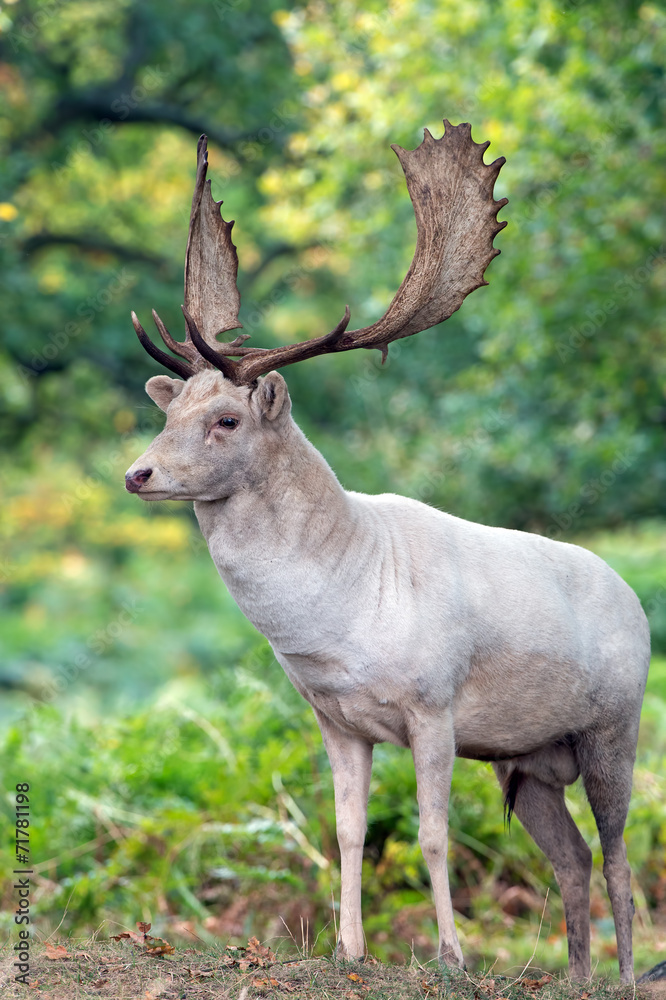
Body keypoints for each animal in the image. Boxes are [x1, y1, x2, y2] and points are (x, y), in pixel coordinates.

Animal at [125, 122, 650, 982]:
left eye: (227, 420)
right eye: (171, 415)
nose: (138, 474)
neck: (343, 614)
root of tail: (633, 597)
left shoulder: (434, 706)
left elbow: (433, 834)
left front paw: (451, 955)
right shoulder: (335, 721)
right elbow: (347, 831)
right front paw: (349, 948)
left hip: (616, 725)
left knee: (617, 856)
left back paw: (626, 976)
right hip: (528, 759)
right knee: (570, 857)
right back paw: (577, 977)